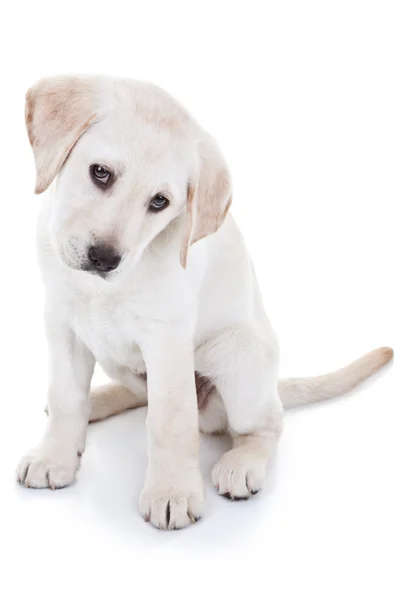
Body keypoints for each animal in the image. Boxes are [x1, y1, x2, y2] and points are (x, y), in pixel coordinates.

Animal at [16, 75, 394, 528]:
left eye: (159, 202)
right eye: (100, 173)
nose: (104, 258)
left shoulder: (166, 341)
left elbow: (170, 420)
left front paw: (172, 491)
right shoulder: (62, 323)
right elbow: (65, 397)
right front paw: (54, 456)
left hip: (237, 356)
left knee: (266, 424)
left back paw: (241, 463)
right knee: (137, 393)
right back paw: (98, 401)